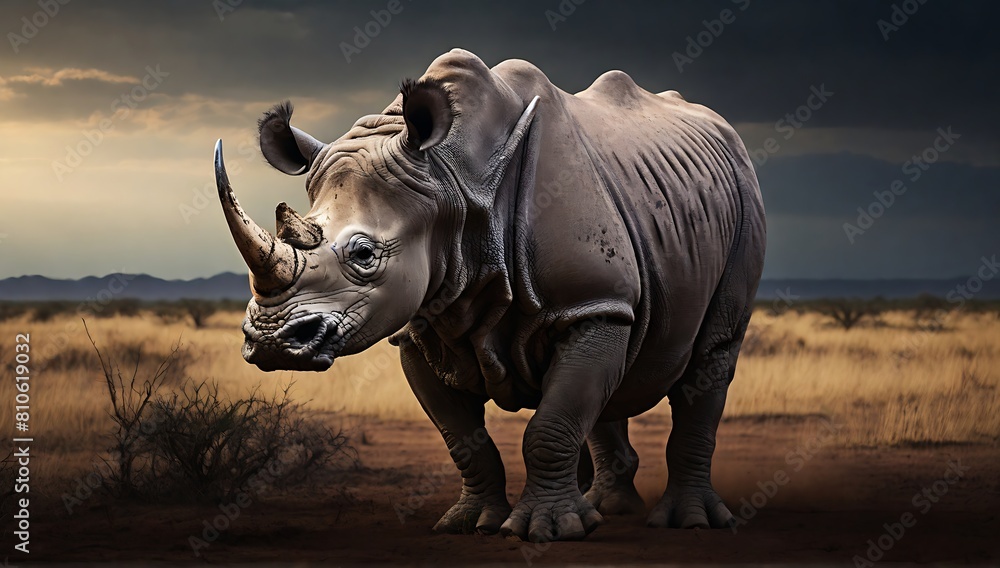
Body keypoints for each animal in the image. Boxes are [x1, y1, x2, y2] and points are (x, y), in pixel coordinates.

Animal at [215, 49, 765, 542]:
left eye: (365, 255)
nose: (270, 341)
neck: (451, 183)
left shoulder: (591, 301)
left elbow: (550, 425)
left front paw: (546, 531)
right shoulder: (421, 324)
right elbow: (463, 439)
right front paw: (471, 524)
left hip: (742, 195)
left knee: (712, 352)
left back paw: (689, 522)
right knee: (619, 362)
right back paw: (607, 509)